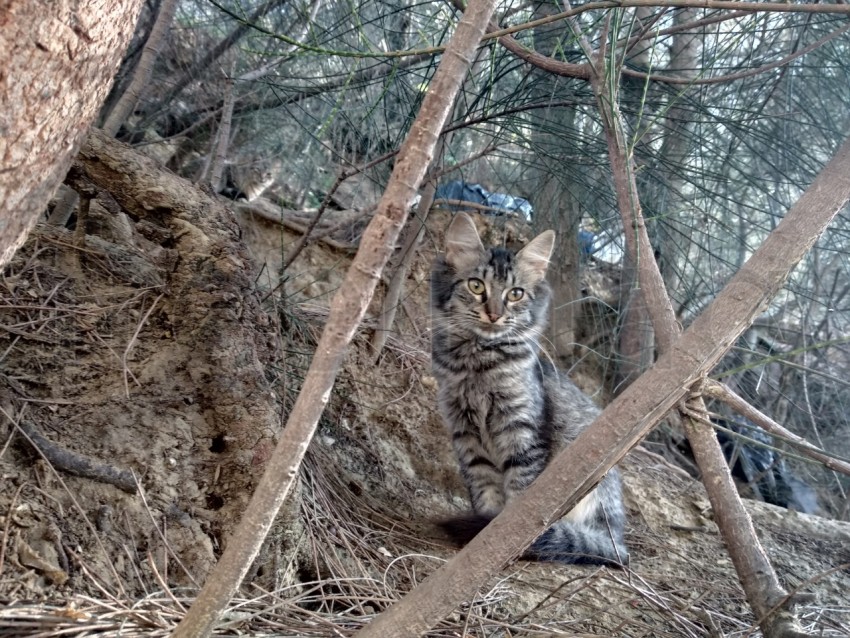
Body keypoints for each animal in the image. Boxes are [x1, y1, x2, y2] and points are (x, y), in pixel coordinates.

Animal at [430, 214, 624, 564]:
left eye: (516, 293)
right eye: (476, 286)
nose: (494, 313)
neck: (478, 363)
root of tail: (618, 541)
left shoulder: (522, 430)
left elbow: (519, 495)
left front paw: (504, 542)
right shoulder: (466, 434)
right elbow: (485, 491)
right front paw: (482, 534)